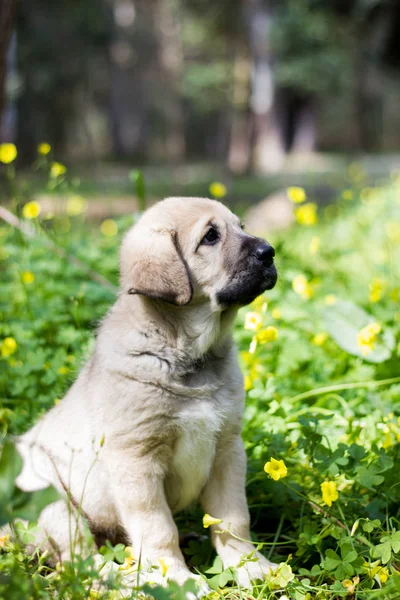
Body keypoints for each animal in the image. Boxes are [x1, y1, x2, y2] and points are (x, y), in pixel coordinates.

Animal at [14, 197, 278, 584]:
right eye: (210, 237)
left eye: (240, 226)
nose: (270, 252)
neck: (188, 355)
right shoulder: (135, 460)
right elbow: (157, 528)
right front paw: (176, 579)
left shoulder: (227, 448)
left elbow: (233, 520)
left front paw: (252, 567)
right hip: (52, 500)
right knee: (78, 559)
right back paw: (118, 577)